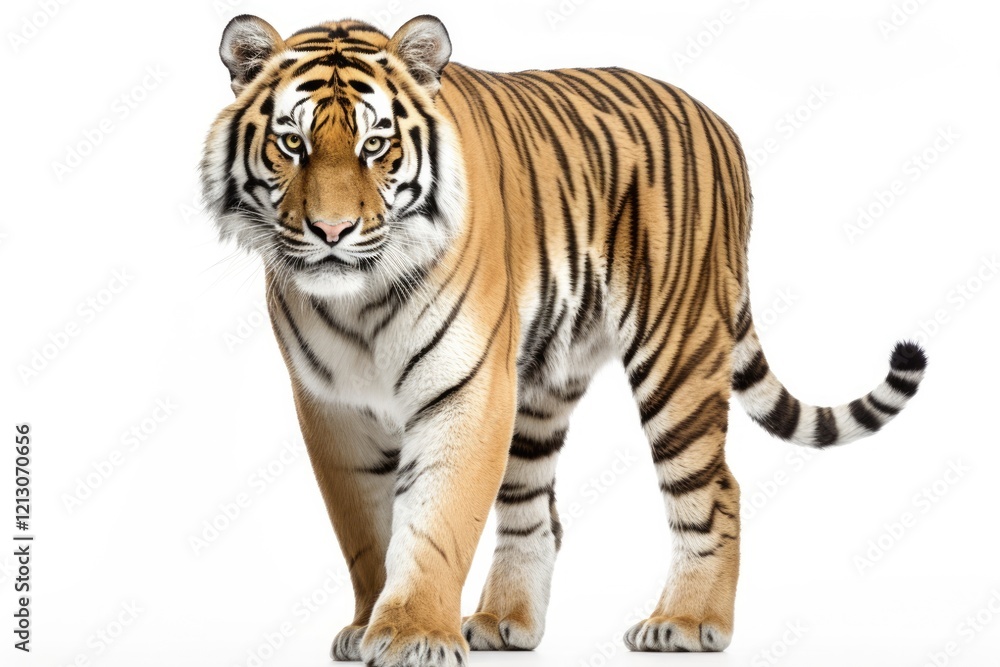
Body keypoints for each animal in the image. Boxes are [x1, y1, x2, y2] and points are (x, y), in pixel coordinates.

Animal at [200, 13, 928, 666]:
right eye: (292, 144)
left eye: (375, 146)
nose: (331, 231)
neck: (361, 297)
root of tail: (717, 121)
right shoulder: (334, 408)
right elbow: (364, 527)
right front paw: (369, 625)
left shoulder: (464, 389)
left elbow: (436, 517)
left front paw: (412, 635)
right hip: (543, 380)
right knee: (535, 512)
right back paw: (504, 620)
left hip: (677, 353)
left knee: (715, 489)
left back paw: (687, 622)